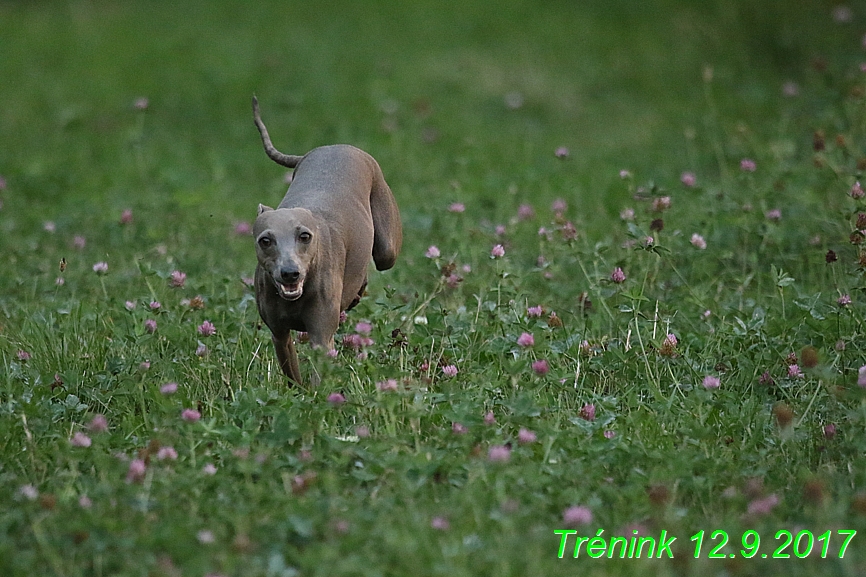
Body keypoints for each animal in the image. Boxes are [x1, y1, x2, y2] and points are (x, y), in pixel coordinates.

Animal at [248, 97, 400, 384]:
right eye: (265, 241)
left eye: (304, 236)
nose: (290, 273)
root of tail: (331, 146)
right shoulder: (279, 334)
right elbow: (293, 374)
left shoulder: (321, 337)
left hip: (387, 247)